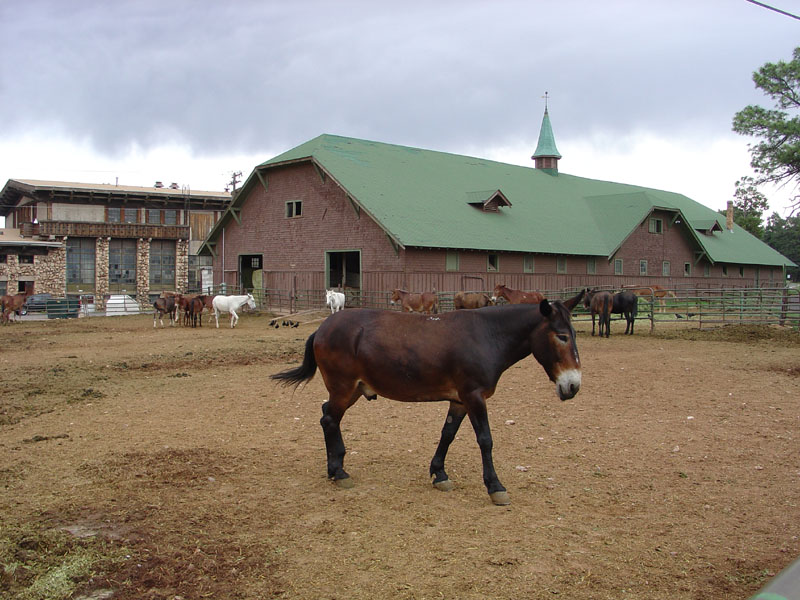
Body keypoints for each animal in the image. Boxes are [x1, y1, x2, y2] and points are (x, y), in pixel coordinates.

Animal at [272, 290, 584, 506]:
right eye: (561, 336)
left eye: (573, 335)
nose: (573, 386)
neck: (487, 335)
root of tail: (323, 327)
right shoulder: (474, 396)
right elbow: (485, 440)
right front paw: (495, 487)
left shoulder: (460, 400)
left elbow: (447, 434)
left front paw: (439, 474)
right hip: (343, 387)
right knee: (329, 420)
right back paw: (338, 472)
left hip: (353, 390)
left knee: (327, 416)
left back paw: (334, 467)